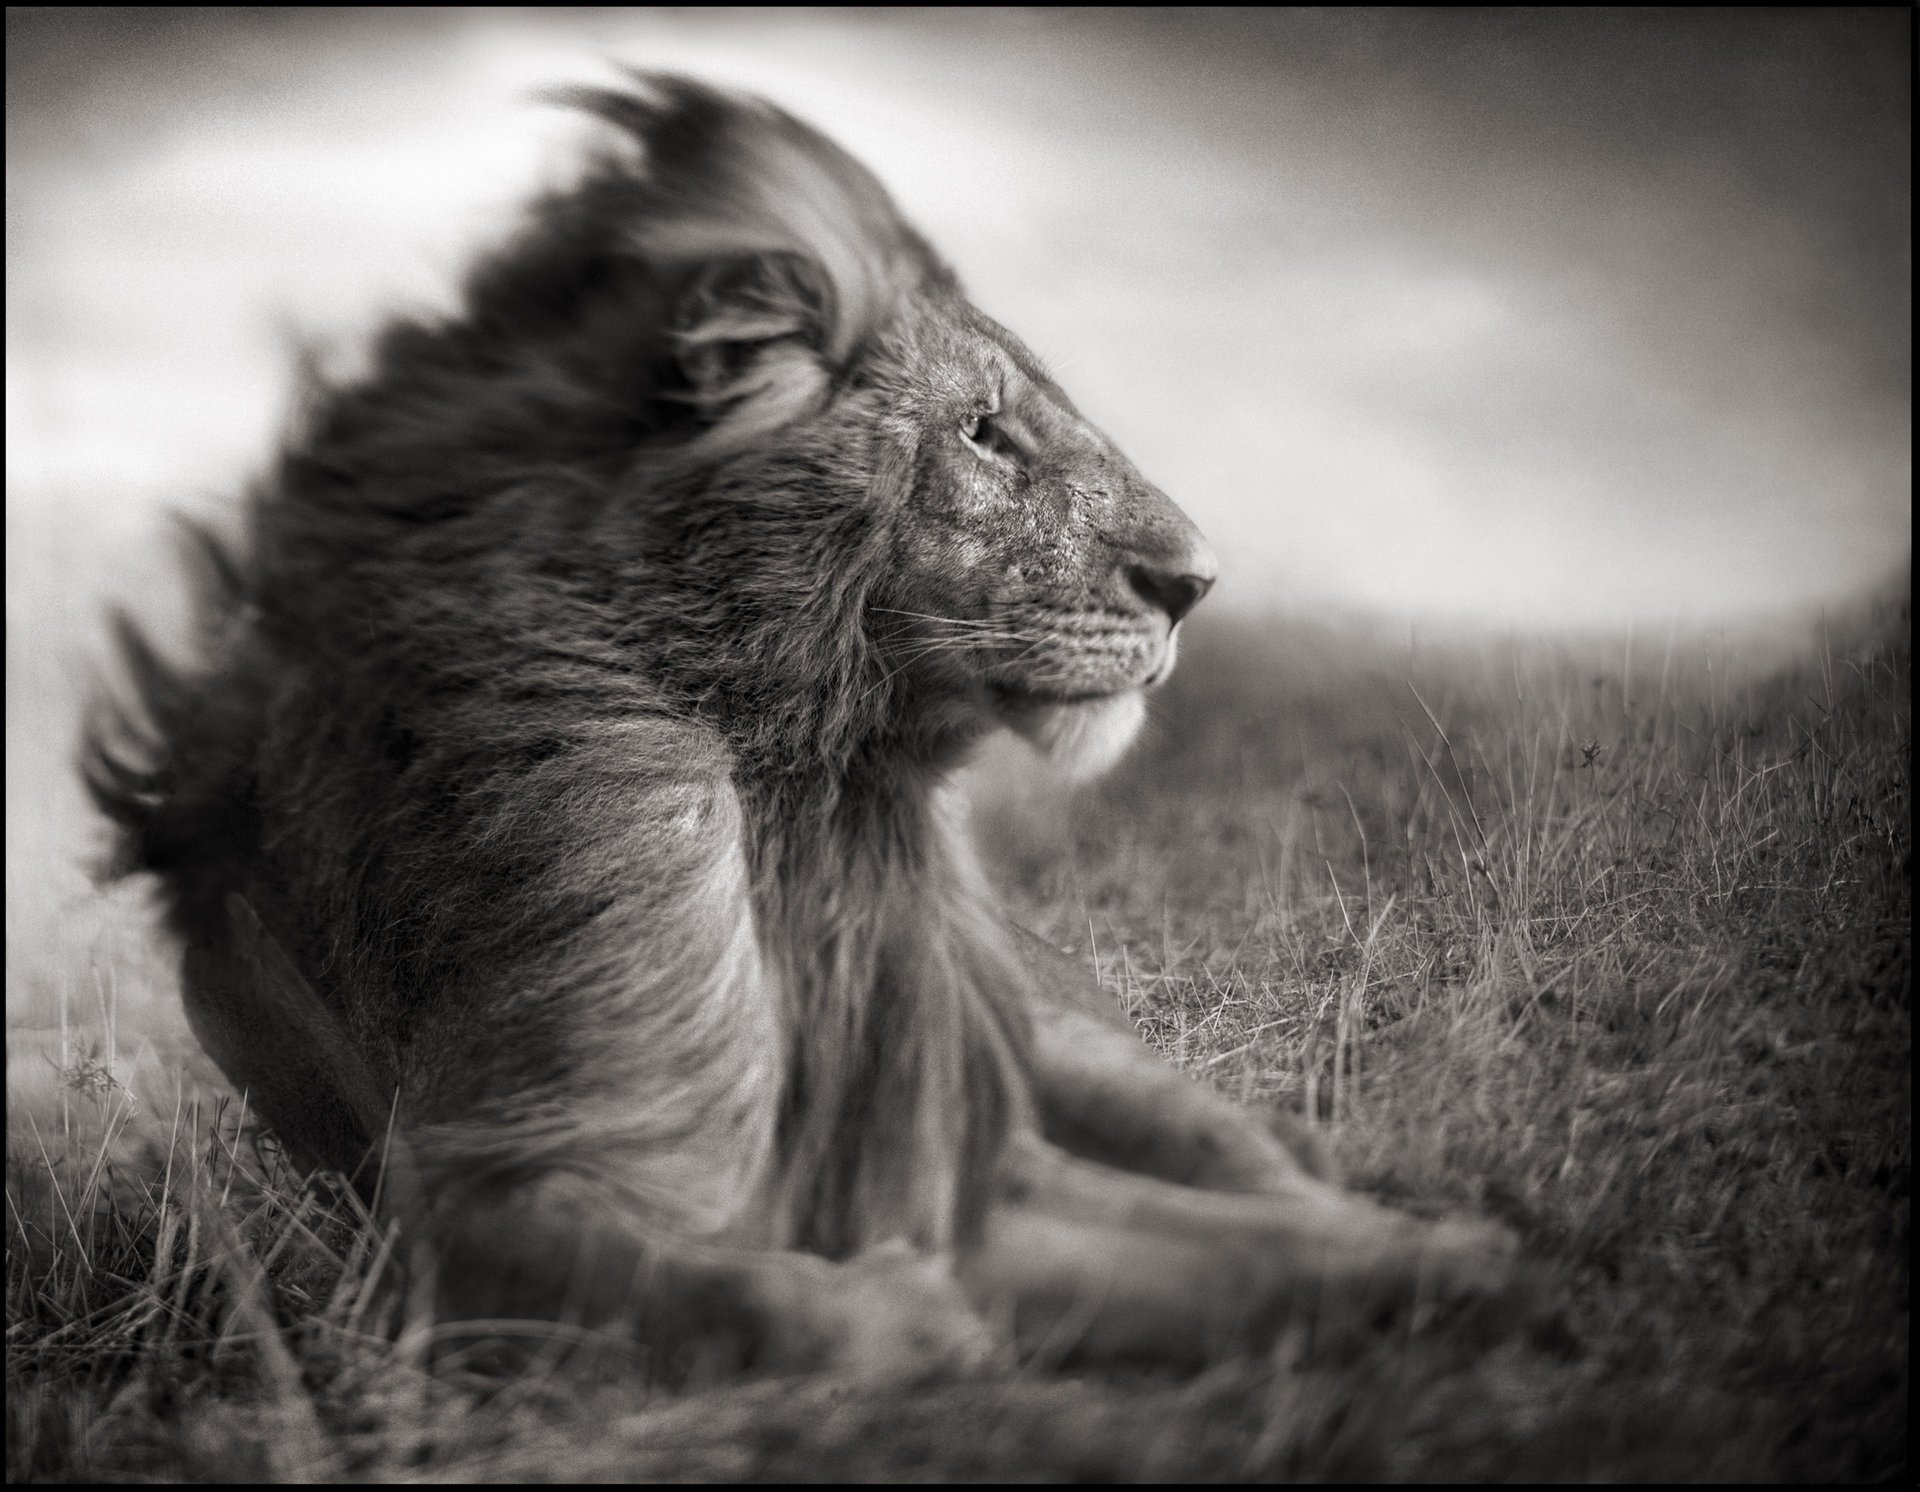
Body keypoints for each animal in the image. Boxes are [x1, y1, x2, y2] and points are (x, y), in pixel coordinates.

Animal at [85, 73, 1518, 1377]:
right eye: (985, 433)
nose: (1197, 583)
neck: (804, 787)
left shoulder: (965, 1158)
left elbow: (1268, 1247)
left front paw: (1470, 1261)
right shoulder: (467, 1209)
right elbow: (737, 1295)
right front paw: (908, 1319)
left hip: (1067, 1042)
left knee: (1249, 1149)